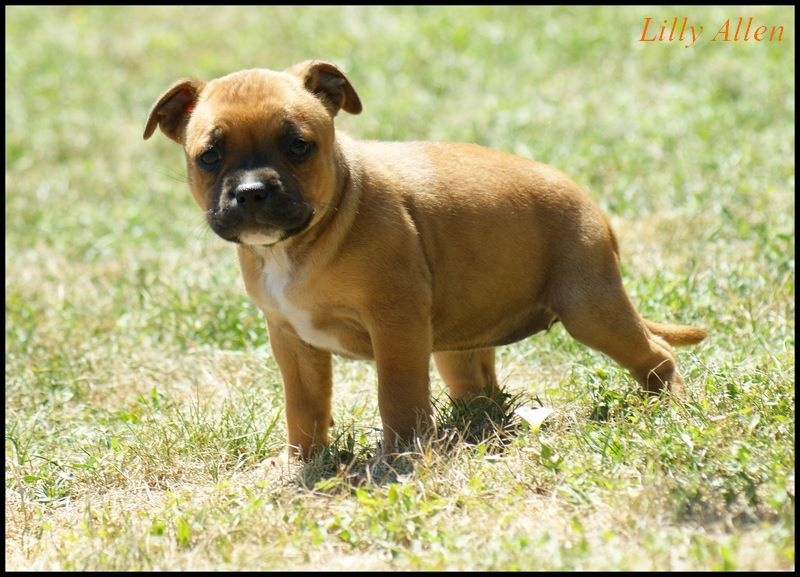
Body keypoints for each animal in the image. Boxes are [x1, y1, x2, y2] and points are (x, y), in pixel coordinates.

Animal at [144, 60, 706, 458]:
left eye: (299, 146)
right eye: (209, 156)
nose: (252, 192)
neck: (300, 241)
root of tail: (591, 204)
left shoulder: (395, 325)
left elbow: (396, 394)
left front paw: (401, 456)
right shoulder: (292, 341)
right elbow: (304, 406)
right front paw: (302, 464)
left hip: (591, 308)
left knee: (654, 353)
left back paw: (673, 406)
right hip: (459, 343)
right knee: (479, 385)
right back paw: (476, 428)